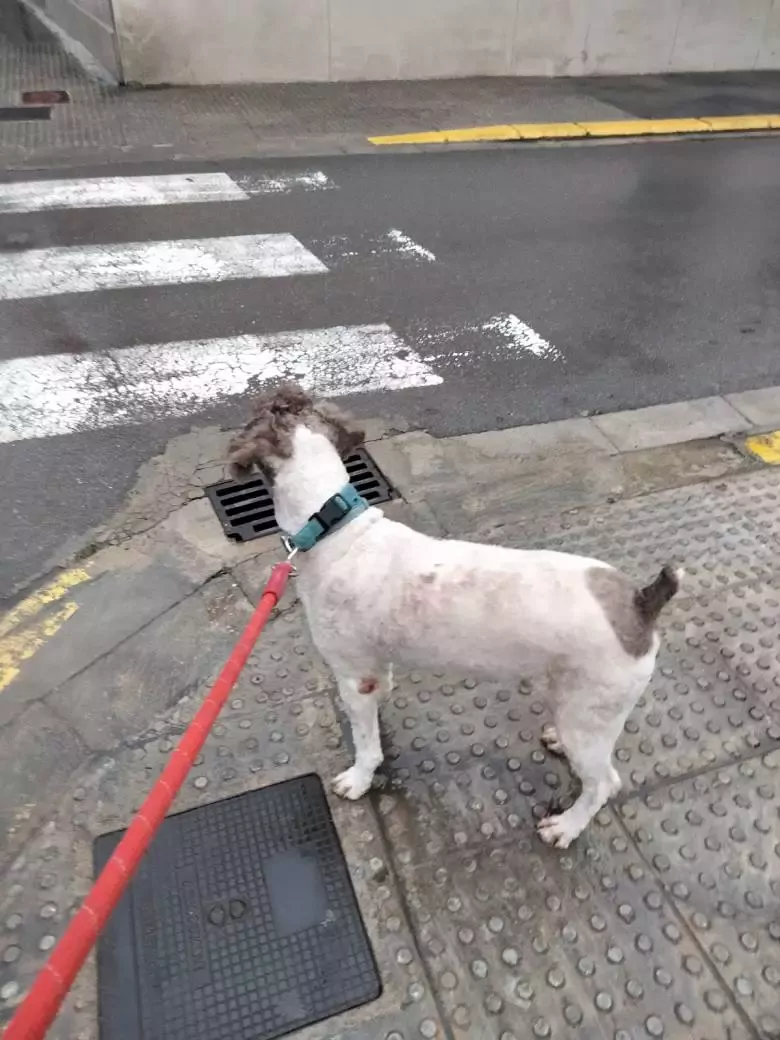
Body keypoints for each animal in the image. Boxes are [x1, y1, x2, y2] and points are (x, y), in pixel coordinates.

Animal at [228, 386, 682, 848]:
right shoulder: (374, 664)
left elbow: (366, 742)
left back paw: (567, 826)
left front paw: (359, 778)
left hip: (592, 711)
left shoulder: (353, 675)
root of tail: (642, 601)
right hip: (579, 704)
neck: (334, 529)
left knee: (604, 783)